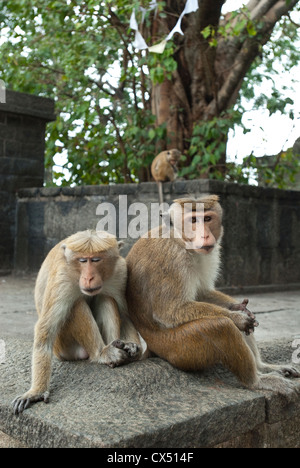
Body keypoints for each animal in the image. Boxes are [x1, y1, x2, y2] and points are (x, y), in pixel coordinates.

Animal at [12, 230, 142, 414]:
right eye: (82, 260)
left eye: (96, 259)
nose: (89, 278)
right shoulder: (62, 278)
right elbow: (46, 329)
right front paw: (35, 392)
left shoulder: (120, 273)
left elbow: (124, 315)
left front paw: (132, 347)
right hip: (65, 348)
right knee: (76, 305)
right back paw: (101, 353)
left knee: (105, 298)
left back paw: (116, 348)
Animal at [126, 196, 300, 396]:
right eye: (193, 220)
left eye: (207, 219)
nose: (205, 235)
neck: (179, 241)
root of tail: (152, 347)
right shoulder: (171, 259)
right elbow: (170, 311)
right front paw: (236, 317)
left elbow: (202, 292)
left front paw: (238, 308)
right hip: (177, 349)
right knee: (221, 327)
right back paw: (256, 380)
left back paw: (263, 367)